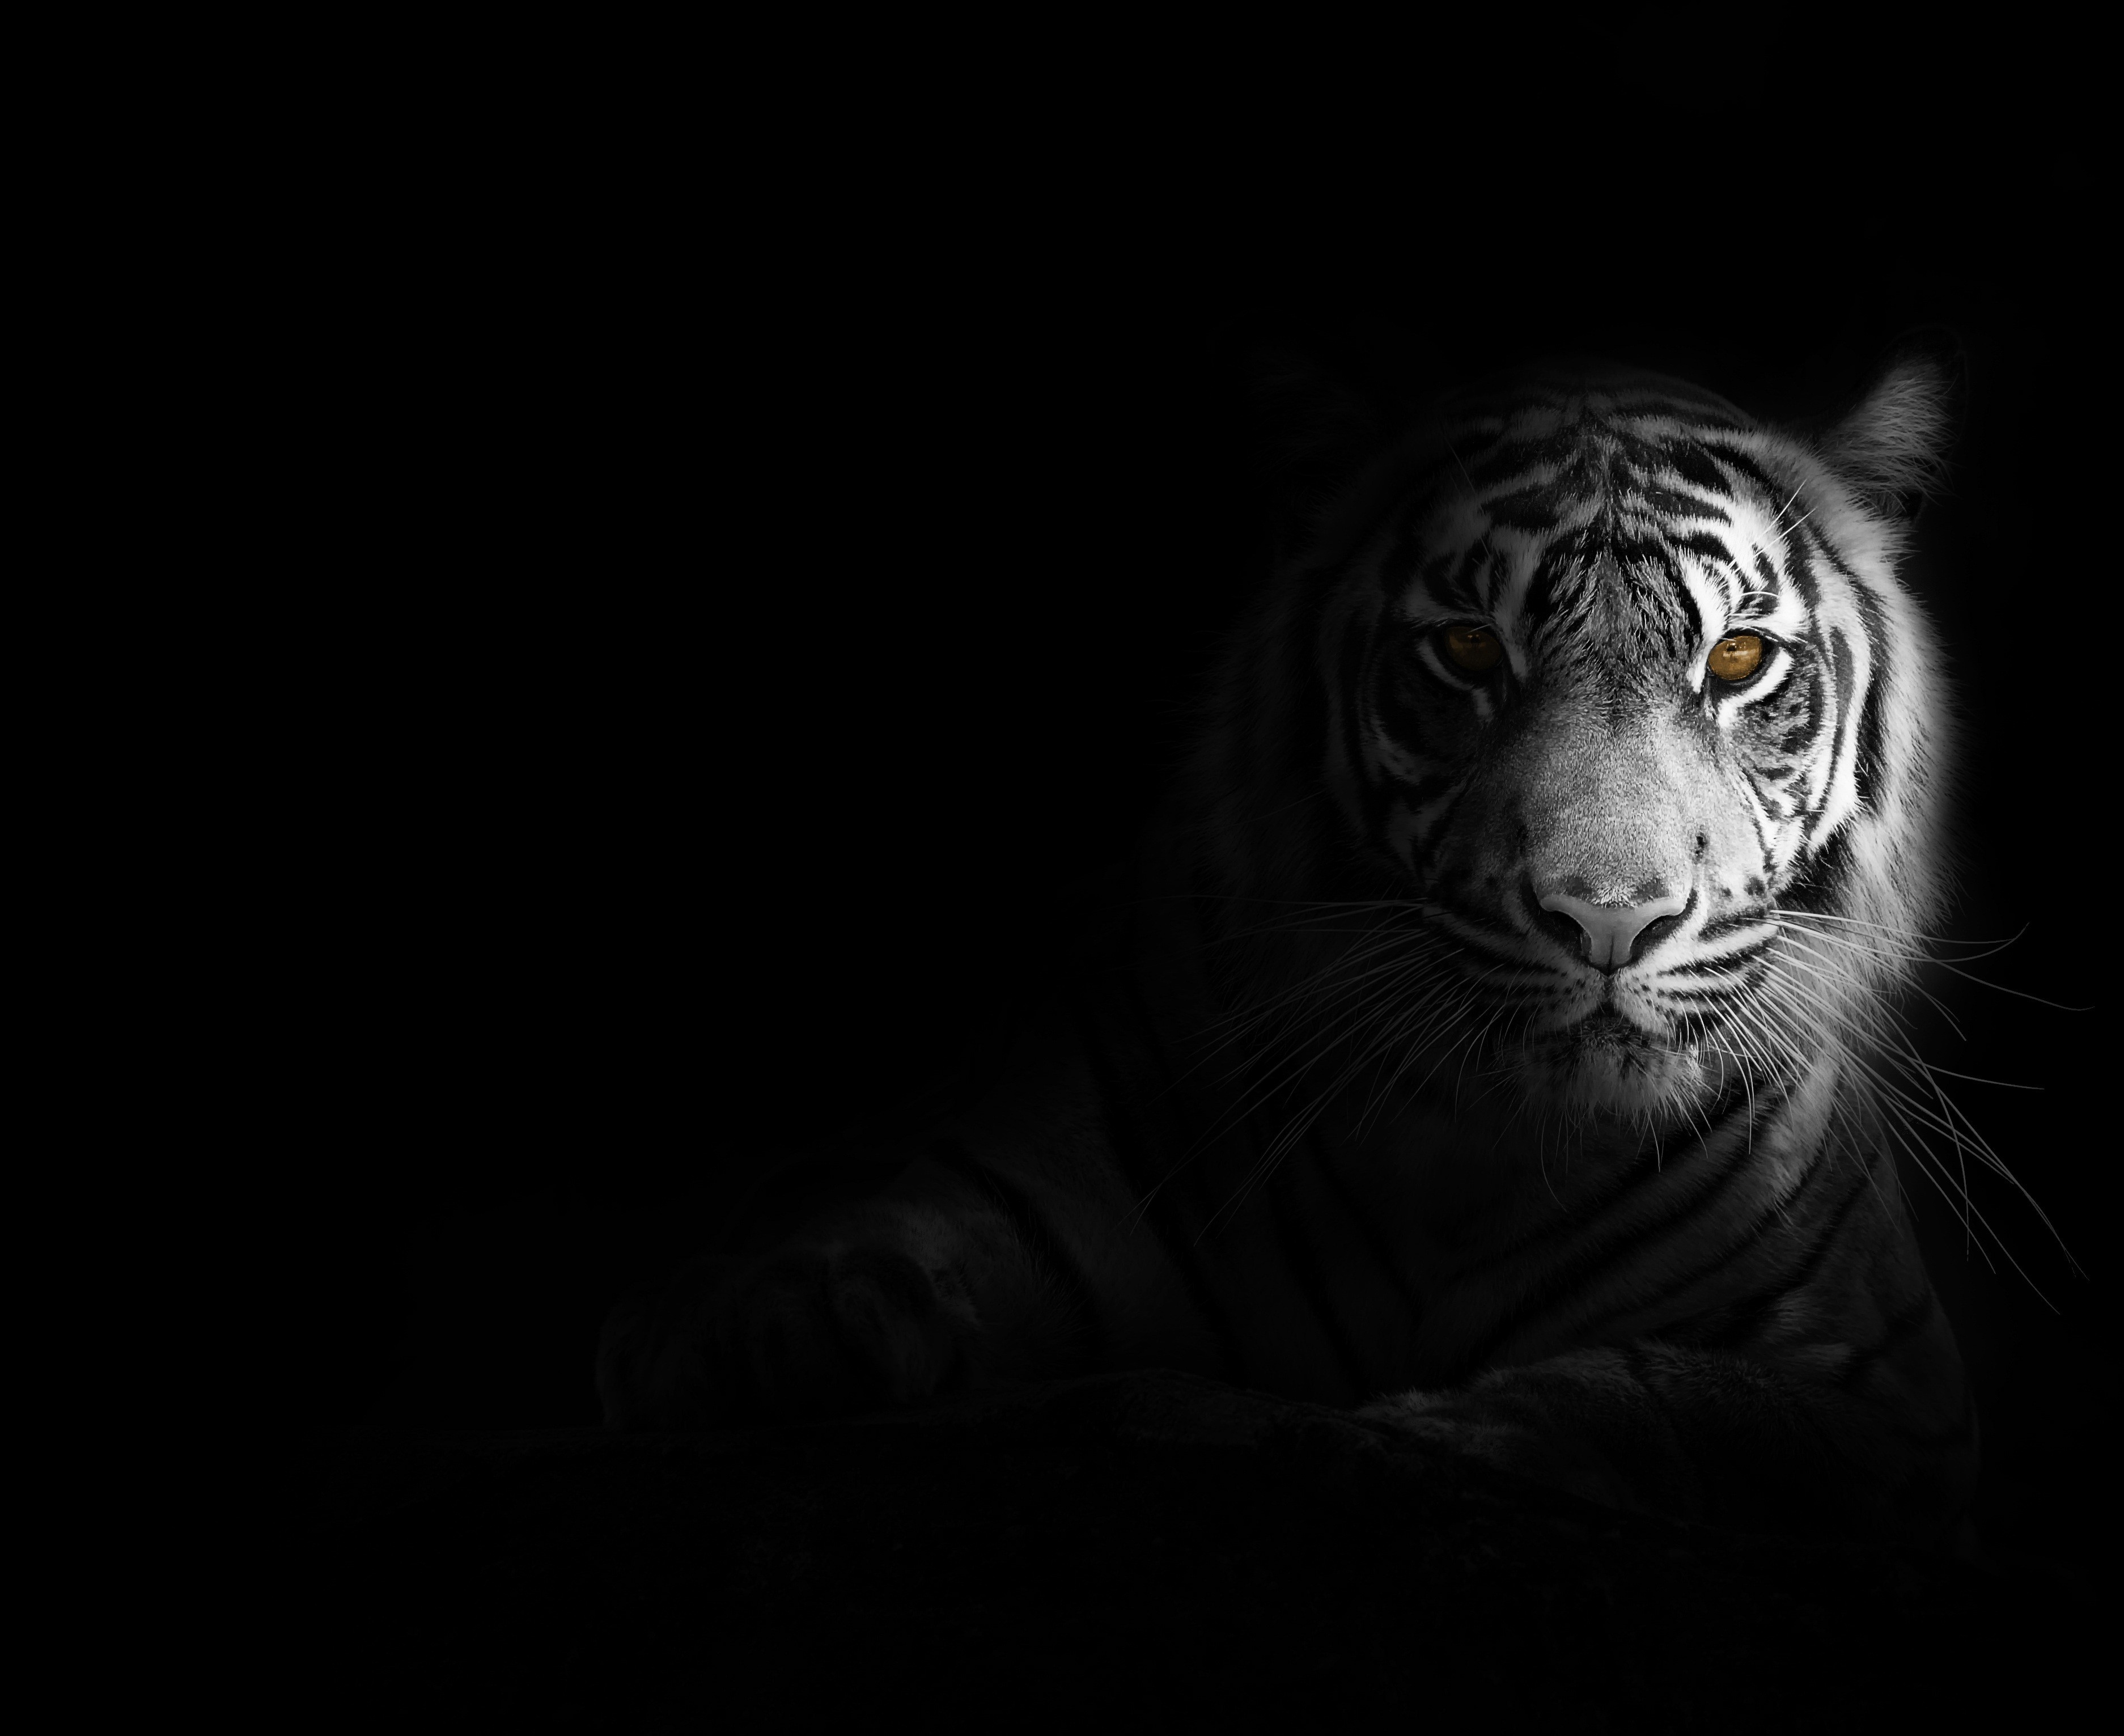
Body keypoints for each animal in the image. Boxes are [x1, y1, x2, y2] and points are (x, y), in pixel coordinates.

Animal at [600, 346, 1988, 1553]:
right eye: (1467, 648)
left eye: (1737, 658)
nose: (1608, 916)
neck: (1477, 1155)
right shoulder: (1016, 1176)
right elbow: (845, 1262)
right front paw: (757, 1345)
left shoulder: (1889, 1396)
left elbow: (1664, 1400)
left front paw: (1426, 1434)